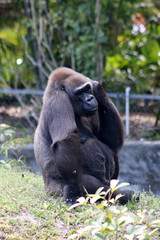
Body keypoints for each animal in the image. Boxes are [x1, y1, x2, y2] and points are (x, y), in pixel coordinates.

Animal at [34, 67, 134, 204]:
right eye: (79, 93)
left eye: (87, 89)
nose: (90, 99)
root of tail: (47, 189)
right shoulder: (58, 100)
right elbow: (66, 139)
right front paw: (72, 190)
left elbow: (111, 142)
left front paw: (98, 89)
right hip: (54, 190)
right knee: (86, 182)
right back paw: (120, 195)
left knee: (113, 155)